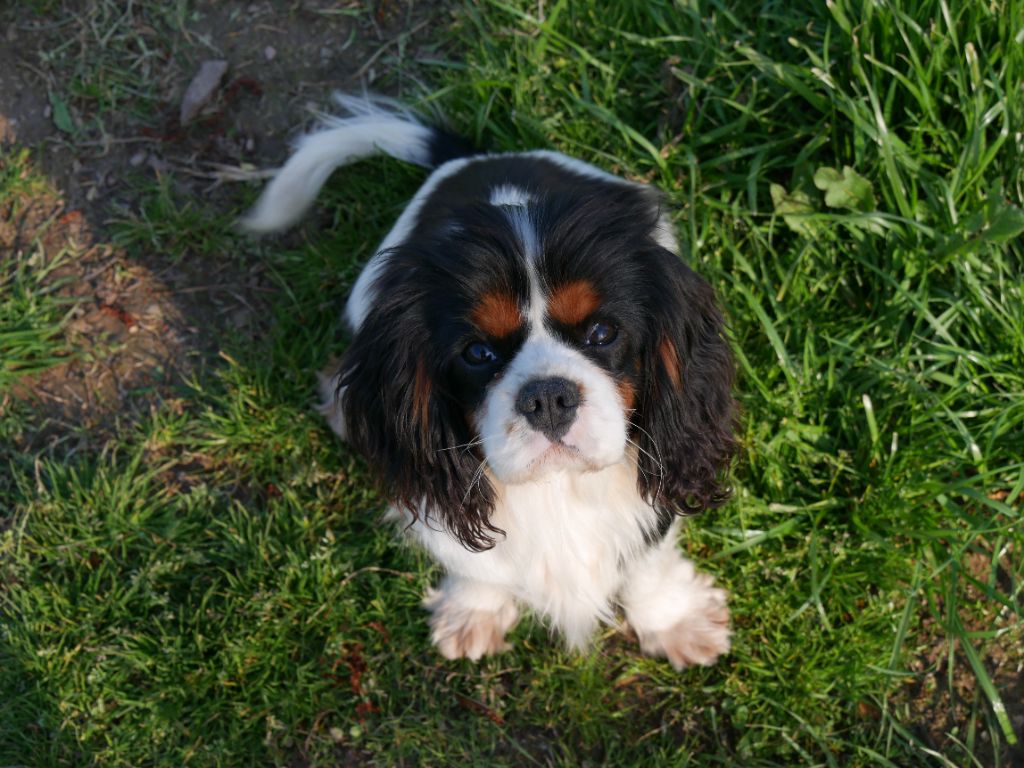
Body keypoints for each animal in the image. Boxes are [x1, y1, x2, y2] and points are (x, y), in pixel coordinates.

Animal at [239, 93, 737, 667]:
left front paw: (673, 618)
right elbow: (471, 559)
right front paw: (473, 611)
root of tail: (478, 157)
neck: (556, 486)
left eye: (602, 332)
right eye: (477, 353)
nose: (548, 397)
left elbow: (648, 559)